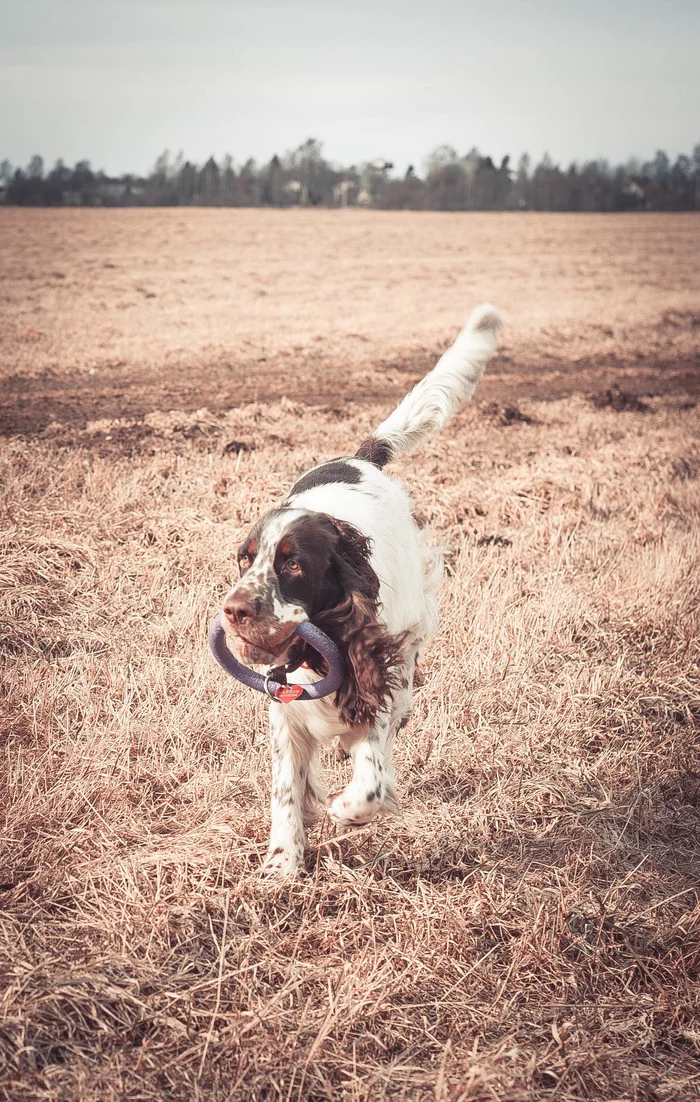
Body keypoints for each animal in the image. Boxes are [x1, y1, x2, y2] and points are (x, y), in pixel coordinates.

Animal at [221, 301, 500, 868]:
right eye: (244, 559)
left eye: (294, 566)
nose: (233, 610)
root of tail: (359, 458)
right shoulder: (284, 711)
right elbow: (286, 786)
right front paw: (282, 862)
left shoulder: (376, 682)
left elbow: (370, 777)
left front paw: (348, 809)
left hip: (410, 639)